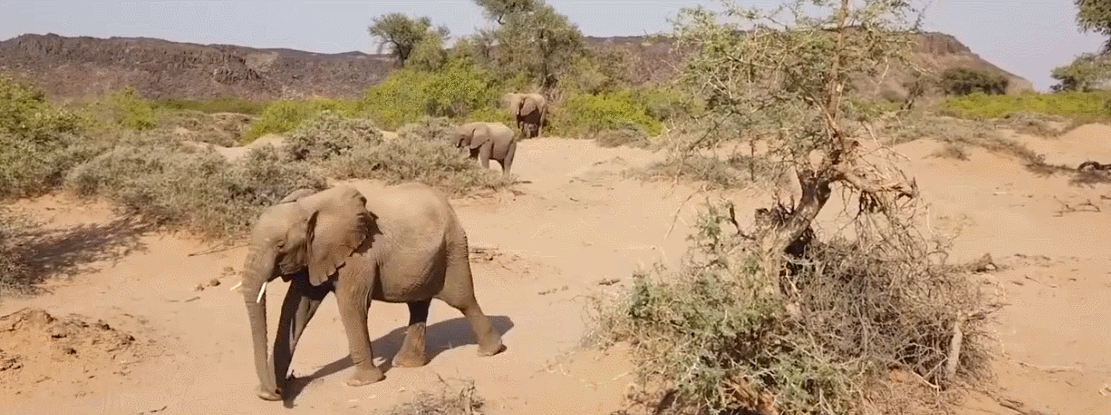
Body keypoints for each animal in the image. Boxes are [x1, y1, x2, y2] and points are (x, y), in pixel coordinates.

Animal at [239, 183, 505, 402]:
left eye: (280, 246)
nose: (274, 392)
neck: (311, 206)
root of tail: (448, 204)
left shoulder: (359, 255)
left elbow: (351, 305)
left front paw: (361, 383)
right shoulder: (314, 256)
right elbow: (297, 307)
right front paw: (269, 392)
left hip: (453, 246)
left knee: (461, 299)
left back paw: (490, 351)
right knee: (418, 305)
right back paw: (407, 364)